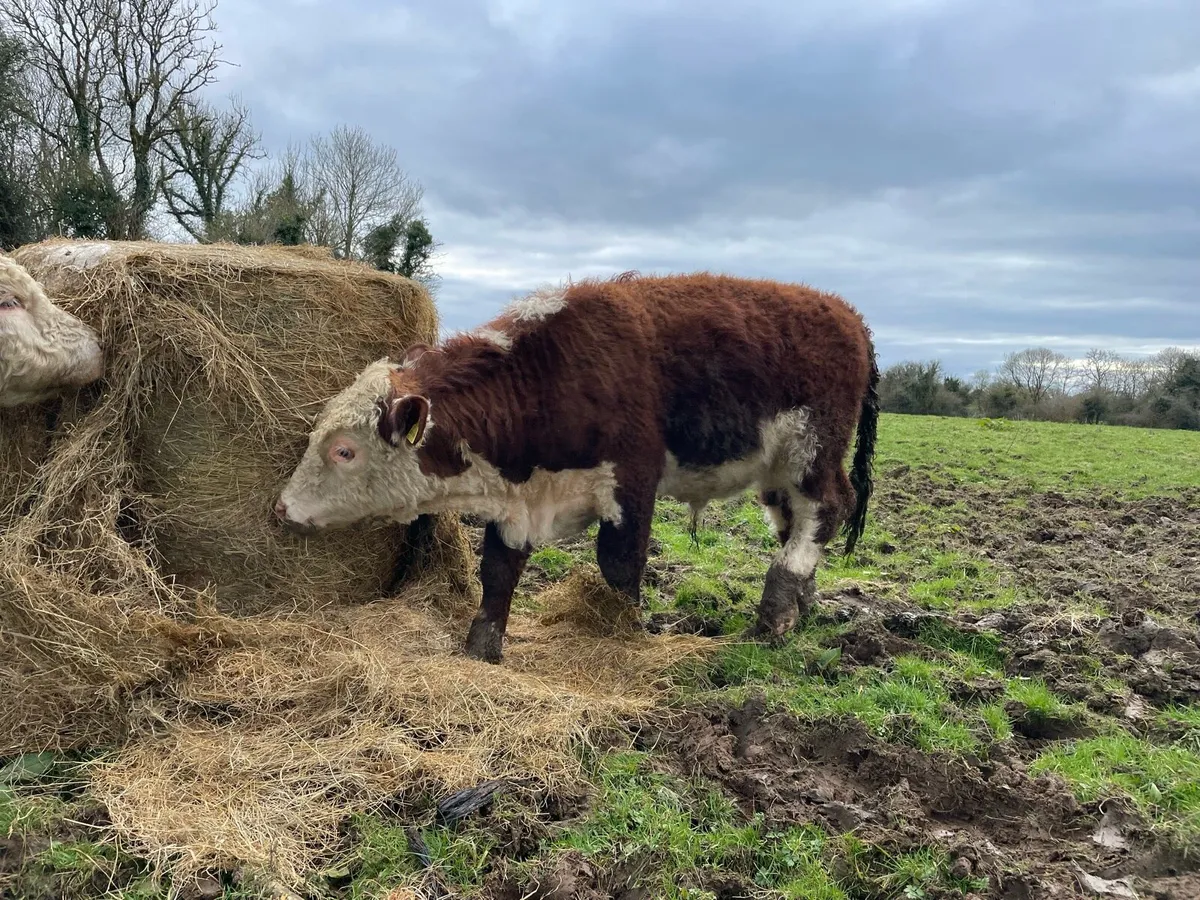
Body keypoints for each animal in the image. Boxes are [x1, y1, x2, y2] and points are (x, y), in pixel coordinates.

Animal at [275, 272, 879, 663]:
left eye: (344, 450)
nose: (282, 507)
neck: (549, 376)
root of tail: (848, 315)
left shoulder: (631, 481)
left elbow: (620, 566)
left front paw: (620, 633)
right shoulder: (516, 499)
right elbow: (498, 571)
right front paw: (482, 648)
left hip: (810, 451)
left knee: (827, 509)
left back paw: (777, 609)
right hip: (778, 474)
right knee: (796, 522)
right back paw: (804, 604)